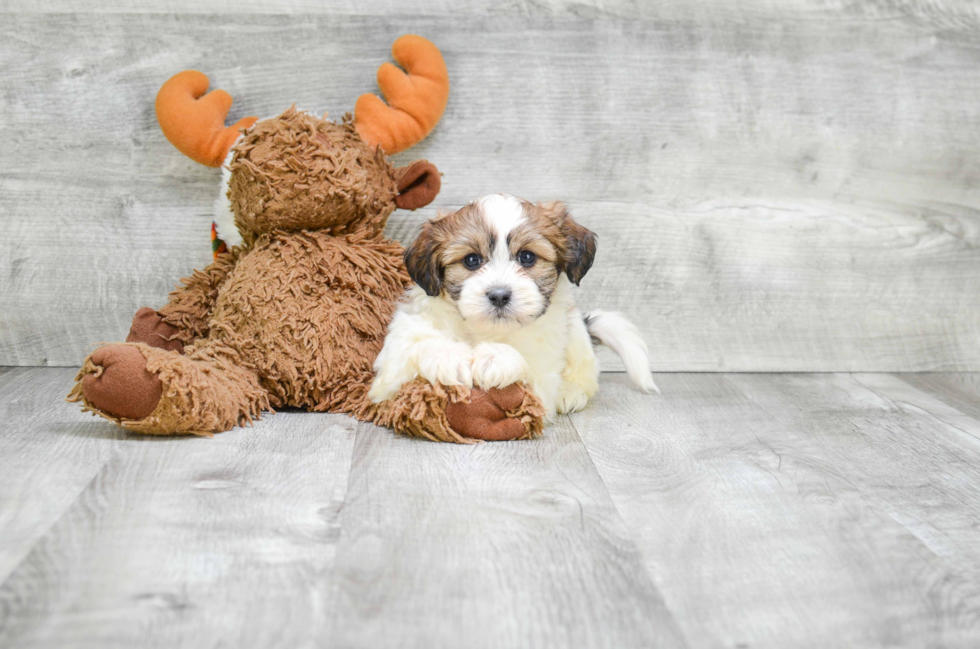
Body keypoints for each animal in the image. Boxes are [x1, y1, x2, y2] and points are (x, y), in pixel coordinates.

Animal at [370, 192, 660, 420]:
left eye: (527, 257)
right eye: (472, 260)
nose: (499, 295)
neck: (486, 331)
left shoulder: (542, 373)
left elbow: (529, 374)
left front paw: (496, 357)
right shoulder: (397, 350)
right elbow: (411, 351)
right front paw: (448, 357)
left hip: (576, 332)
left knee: (587, 373)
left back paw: (570, 392)